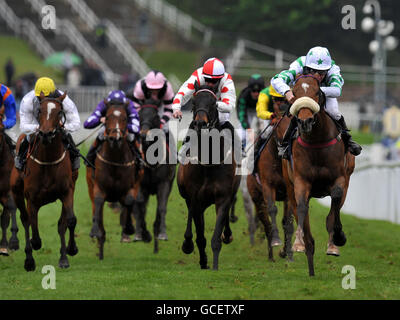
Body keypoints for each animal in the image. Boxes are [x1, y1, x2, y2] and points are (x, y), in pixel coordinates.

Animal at [10, 91, 78, 272]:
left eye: (59, 112)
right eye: (39, 111)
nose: (46, 134)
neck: (48, 160)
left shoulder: (67, 191)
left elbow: (69, 221)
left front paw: (70, 250)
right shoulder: (31, 199)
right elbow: (33, 228)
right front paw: (34, 246)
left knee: (61, 223)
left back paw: (63, 257)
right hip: (17, 193)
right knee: (26, 220)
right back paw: (29, 261)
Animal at [86, 102, 142, 260]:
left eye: (124, 118)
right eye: (108, 117)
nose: (114, 138)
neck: (115, 160)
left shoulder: (130, 188)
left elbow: (129, 201)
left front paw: (128, 229)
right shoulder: (98, 188)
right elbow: (98, 205)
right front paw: (98, 235)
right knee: (95, 208)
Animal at [132, 99, 176, 254]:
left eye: (155, 116)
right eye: (139, 114)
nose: (143, 135)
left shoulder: (164, 183)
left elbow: (162, 207)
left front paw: (162, 233)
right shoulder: (140, 184)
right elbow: (140, 207)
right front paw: (140, 234)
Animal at [178, 83, 241, 270]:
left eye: (213, 103)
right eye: (193, 103)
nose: (200, 122)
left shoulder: (222, 198)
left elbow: (215, 237)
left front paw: (214, 266)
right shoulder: (195, 199)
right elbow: (200, 236)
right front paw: (202, 259)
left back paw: (227, 235)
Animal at [282, 75, 356, 278]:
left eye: (317, 92)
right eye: (294, 92)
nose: (305, 121)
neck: (316, 142)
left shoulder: (340, 180)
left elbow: (334, 207)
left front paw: (338, 238)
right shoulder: (301, 182)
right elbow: (301, 207)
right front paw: (302, 245)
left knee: (334, 209)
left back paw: (332, 245)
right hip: (289, 184)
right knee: (298, 209)